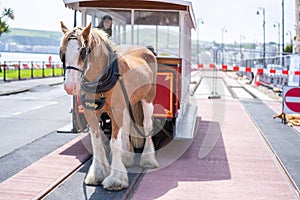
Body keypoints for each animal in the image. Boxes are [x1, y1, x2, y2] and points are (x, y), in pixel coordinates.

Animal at [60, 21, 159, 191]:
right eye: (63, 51)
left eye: (83, 51)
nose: (70, 86)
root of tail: (147, 50)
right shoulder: (91, 113)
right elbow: (97, 141)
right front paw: (97, 174)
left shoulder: (116, 111)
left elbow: (114, 143)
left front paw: (116, 179)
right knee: (127, 124)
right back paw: (127, 157)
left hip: (147, 99)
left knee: (147, 126)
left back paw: (148, 159)